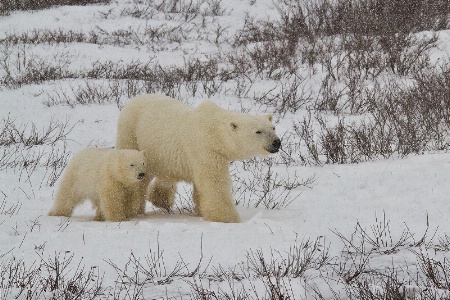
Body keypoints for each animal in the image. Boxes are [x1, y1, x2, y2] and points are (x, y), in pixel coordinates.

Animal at [116, 94, 280, 223]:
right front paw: (228, 218)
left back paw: (161, 200)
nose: (276, 142)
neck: (214, 132)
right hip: (131, 134)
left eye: (273, 127)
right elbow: (214, 182)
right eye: (258, 131)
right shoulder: (206, 149)